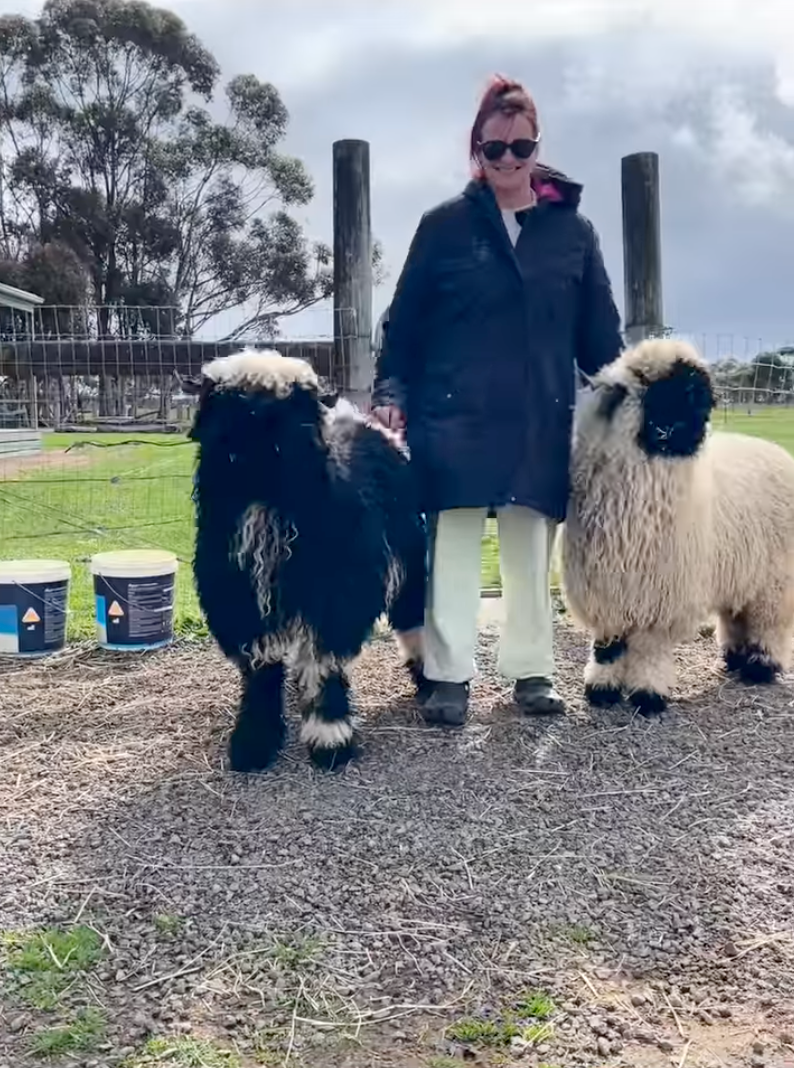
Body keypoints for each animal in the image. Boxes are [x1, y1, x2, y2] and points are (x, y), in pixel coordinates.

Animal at [186, 349, 428, 772]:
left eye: (294, 407)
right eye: (224, 402)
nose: (254, 445)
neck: (267, 507)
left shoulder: (335, 597)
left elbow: (322, 660)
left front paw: (330, 739)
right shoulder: (239, 598)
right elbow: (261, 667)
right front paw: (254, 740)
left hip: (410, 563)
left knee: (414, 620)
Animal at [560, 337, 794, 718]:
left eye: (699, 396)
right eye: (660, 392)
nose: (694, 433)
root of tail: (775, 449)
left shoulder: (660, 596)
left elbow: (649, 651)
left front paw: (647, 696)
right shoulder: (606, 590)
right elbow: (607, 648)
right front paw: (601, 690)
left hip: (775, 579)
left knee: (768, 622)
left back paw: (760, 667)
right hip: (739, 569)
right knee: (735, 615)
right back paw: (734, 658)